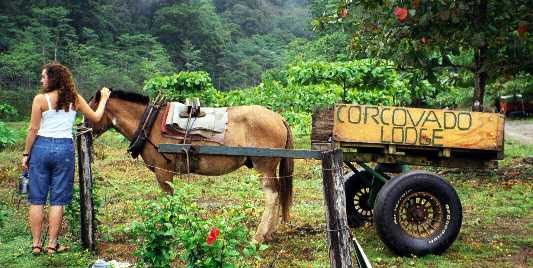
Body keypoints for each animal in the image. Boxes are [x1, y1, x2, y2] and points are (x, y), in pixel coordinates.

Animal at [88, 90, 296, 243]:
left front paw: (168, 229)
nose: (83, 129)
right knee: (278, 194)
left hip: (264, 166)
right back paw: (270, 233)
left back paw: (259, 235)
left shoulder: (163, 172)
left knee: (271, 196)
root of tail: (278, 118)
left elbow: (168, 200)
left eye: (89, 108)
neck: (149, 122)